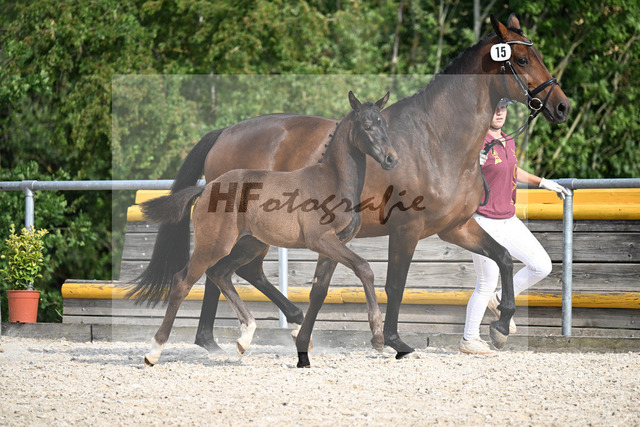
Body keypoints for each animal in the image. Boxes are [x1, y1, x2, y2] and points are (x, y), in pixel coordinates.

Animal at [140, 92, 397, 367]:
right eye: (367, 126)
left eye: (385, 125)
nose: (391, 158)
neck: (332, 181)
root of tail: (207, 188)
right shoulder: (321, 240)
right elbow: (364, 268)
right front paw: (377, 338)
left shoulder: (335, 244)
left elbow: (319, 290)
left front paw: (303, 342)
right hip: (214, 245)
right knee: (183, 281)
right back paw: (154, 351)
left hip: (250, 244)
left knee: (221, 273)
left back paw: (245, 337)